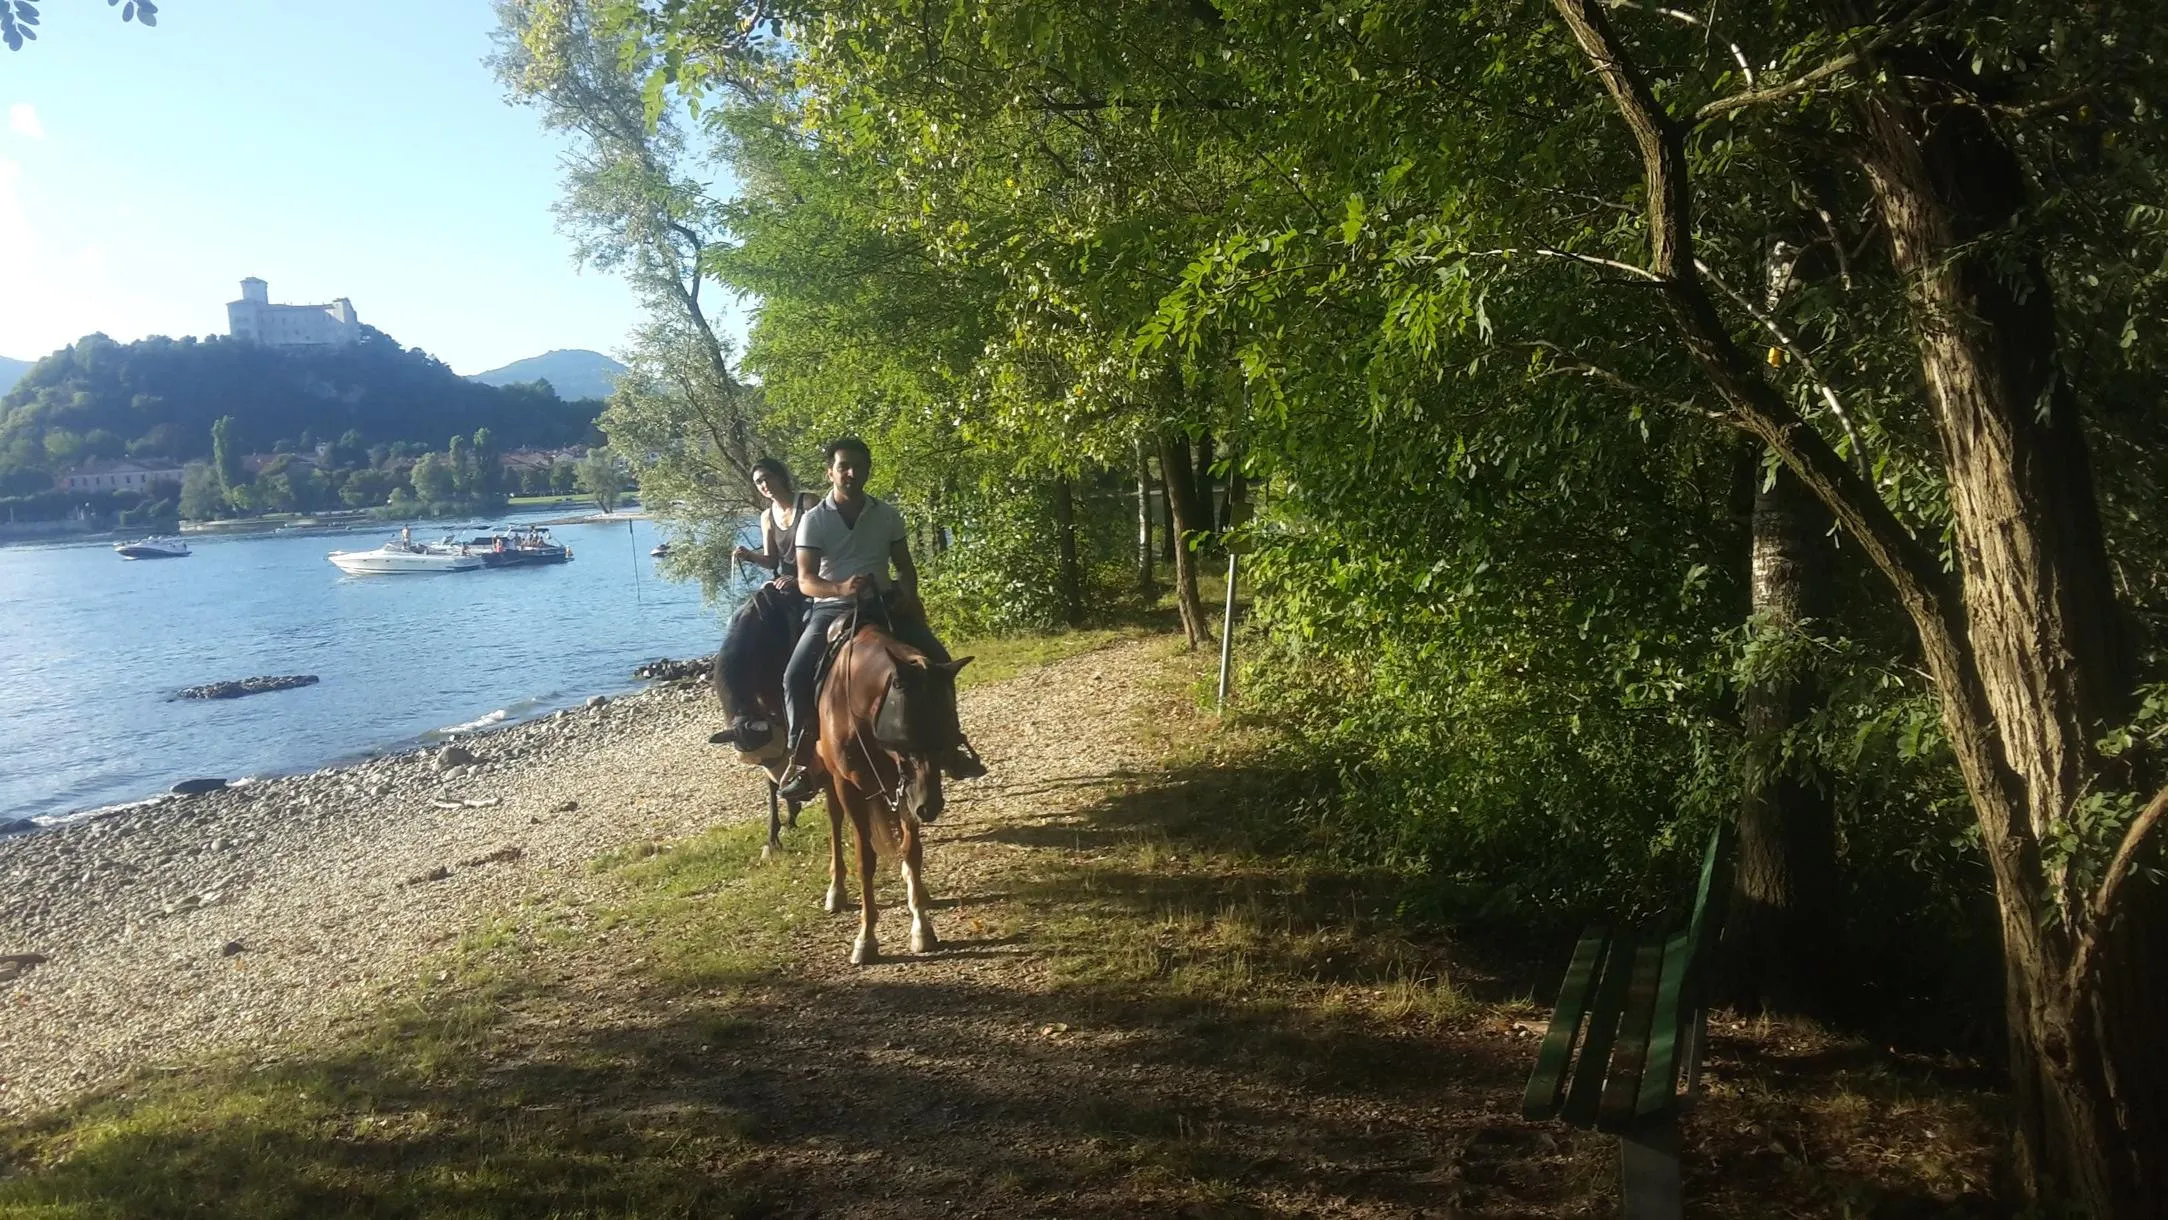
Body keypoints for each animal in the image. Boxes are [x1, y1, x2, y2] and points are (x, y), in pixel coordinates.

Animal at [815, 611, 971, 965]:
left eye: (946, 736)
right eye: (907, 734)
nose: (931, 807)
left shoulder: (908, 791)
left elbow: (912, 851)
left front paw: (922, 929)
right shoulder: (851, 788)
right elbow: (865, 859)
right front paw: (866, 939)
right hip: (833, 778)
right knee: (834, 819)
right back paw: (836, 890)